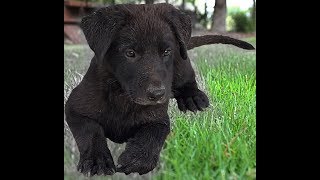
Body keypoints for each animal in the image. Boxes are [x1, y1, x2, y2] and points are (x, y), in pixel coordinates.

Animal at [65, 3, 255, 176]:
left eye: (166, 52)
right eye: (130, 53)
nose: (158, 94)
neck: (122, 96)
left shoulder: (158, 118)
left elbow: (153, 134)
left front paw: (138, 159)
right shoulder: (74, 106)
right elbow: (90, 130)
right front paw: (97, 160)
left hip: (182, 62)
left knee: (188, 78)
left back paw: (192, 98)